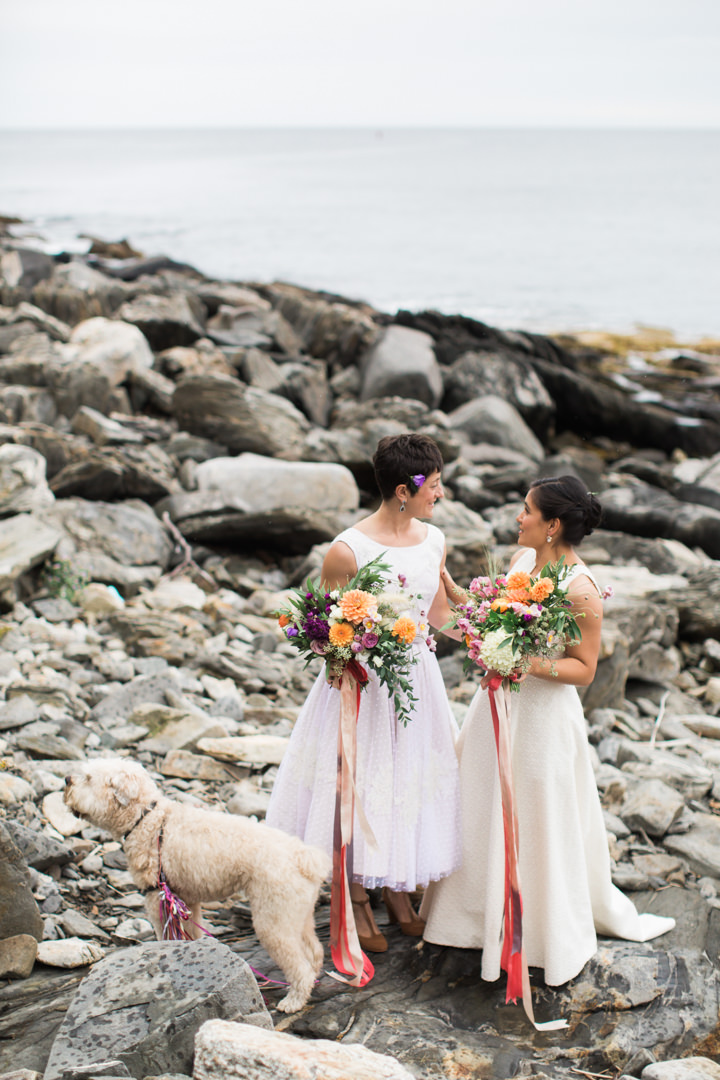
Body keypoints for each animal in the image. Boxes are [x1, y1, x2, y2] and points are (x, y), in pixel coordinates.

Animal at [63, 760, 330, 1010]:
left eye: (88, 778)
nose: (66, 780)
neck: (147, 818)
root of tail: (304, 857)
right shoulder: (186, 899)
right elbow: (192, 933)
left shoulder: (157, 897)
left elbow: (165, 935)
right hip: (297, 912)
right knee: (314, 951)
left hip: (273, 917)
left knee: (299, 966)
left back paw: (293, 1001)